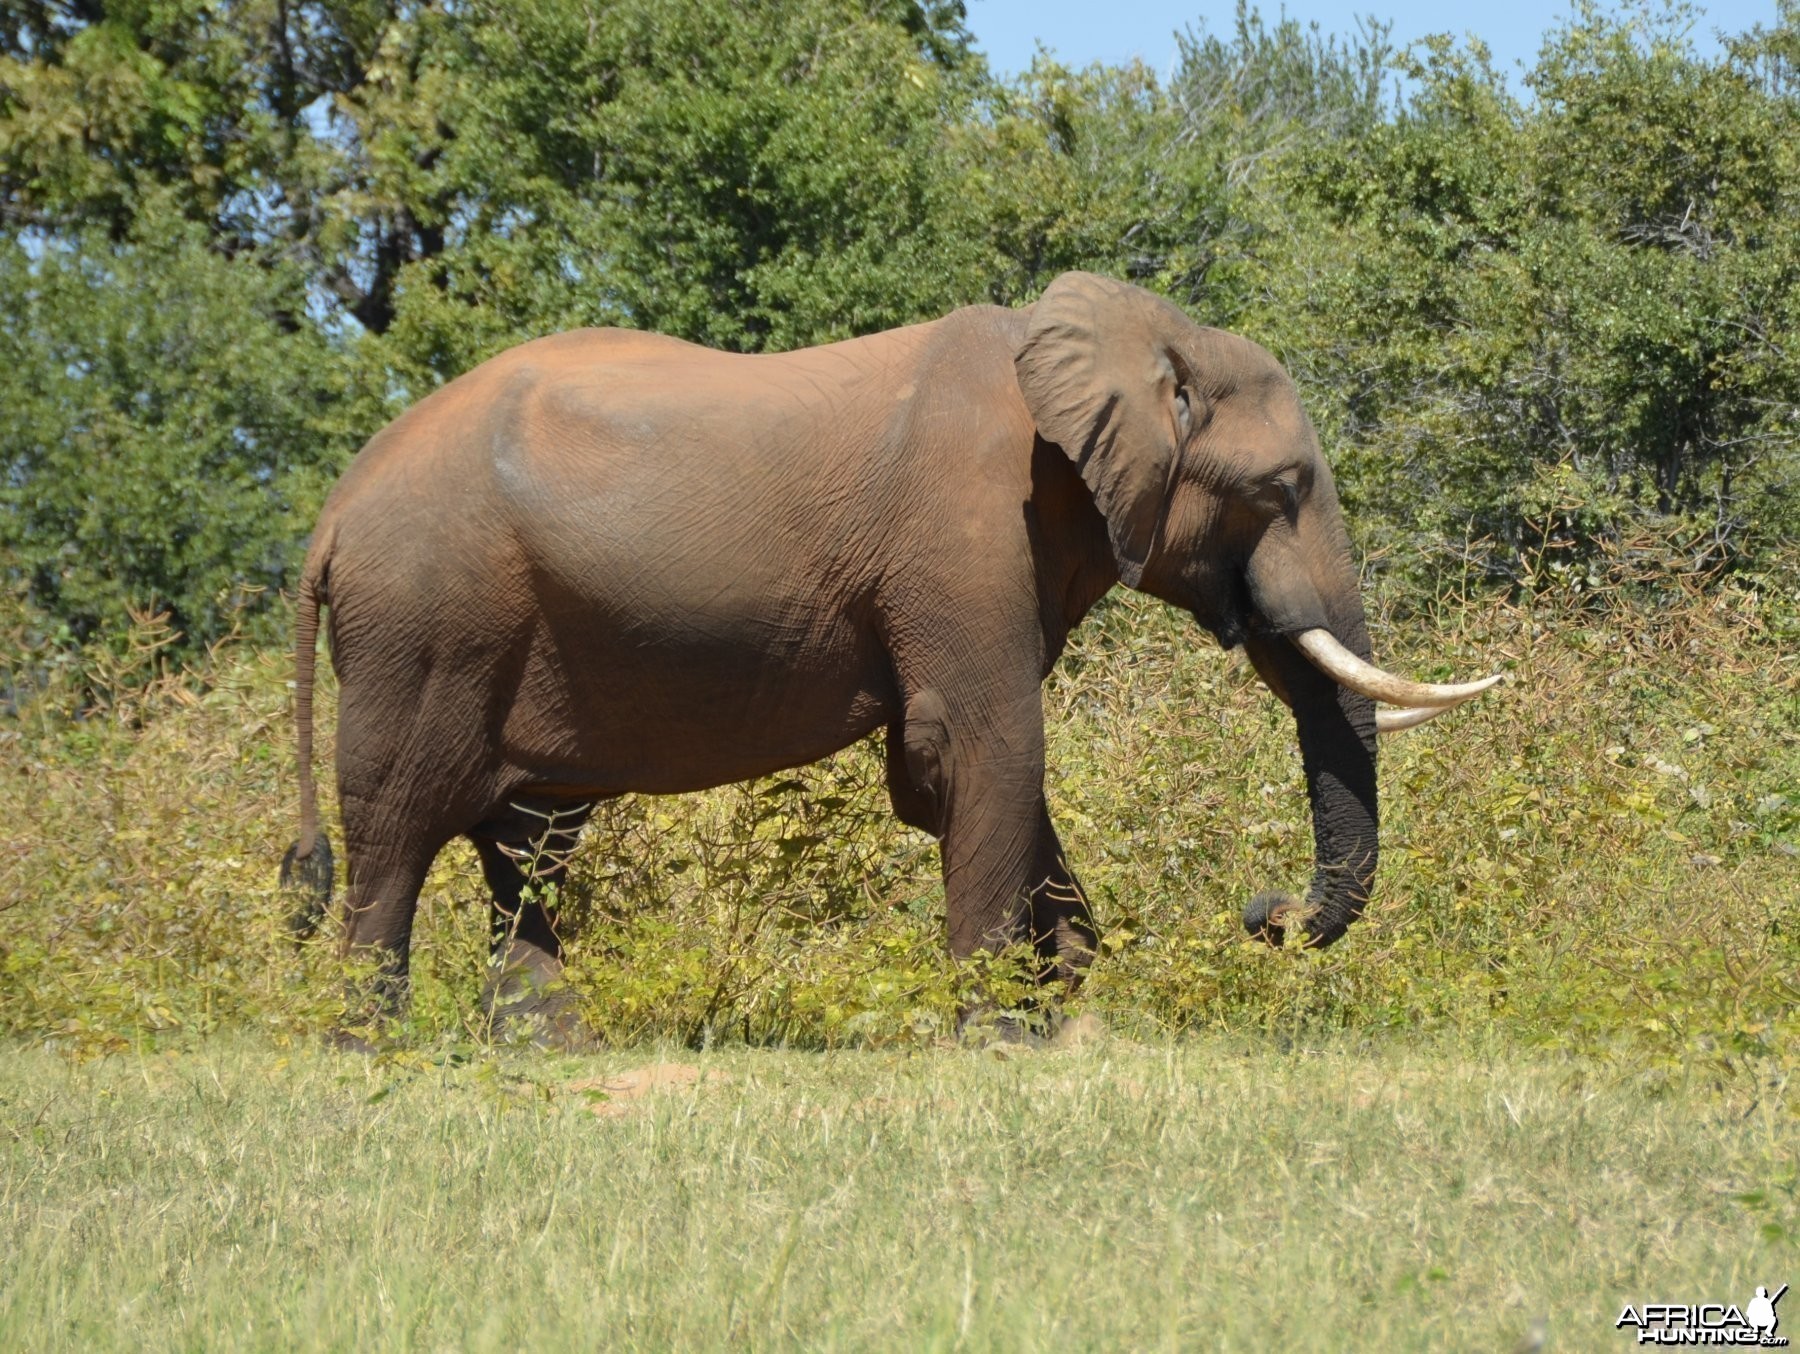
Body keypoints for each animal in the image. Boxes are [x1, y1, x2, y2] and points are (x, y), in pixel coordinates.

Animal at [277, 271, 1490, 1037]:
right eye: (1282, 490)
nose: (1261, 912)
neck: (1125, 340)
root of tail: (331, 512)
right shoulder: (967, 532)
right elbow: (985, 752)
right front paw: (999, 1041)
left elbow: (954, 774)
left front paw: (1064, 1020)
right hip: (424, 623)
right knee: (396, 834)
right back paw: (371, 1053)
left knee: (527, 842)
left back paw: (551, 1054)